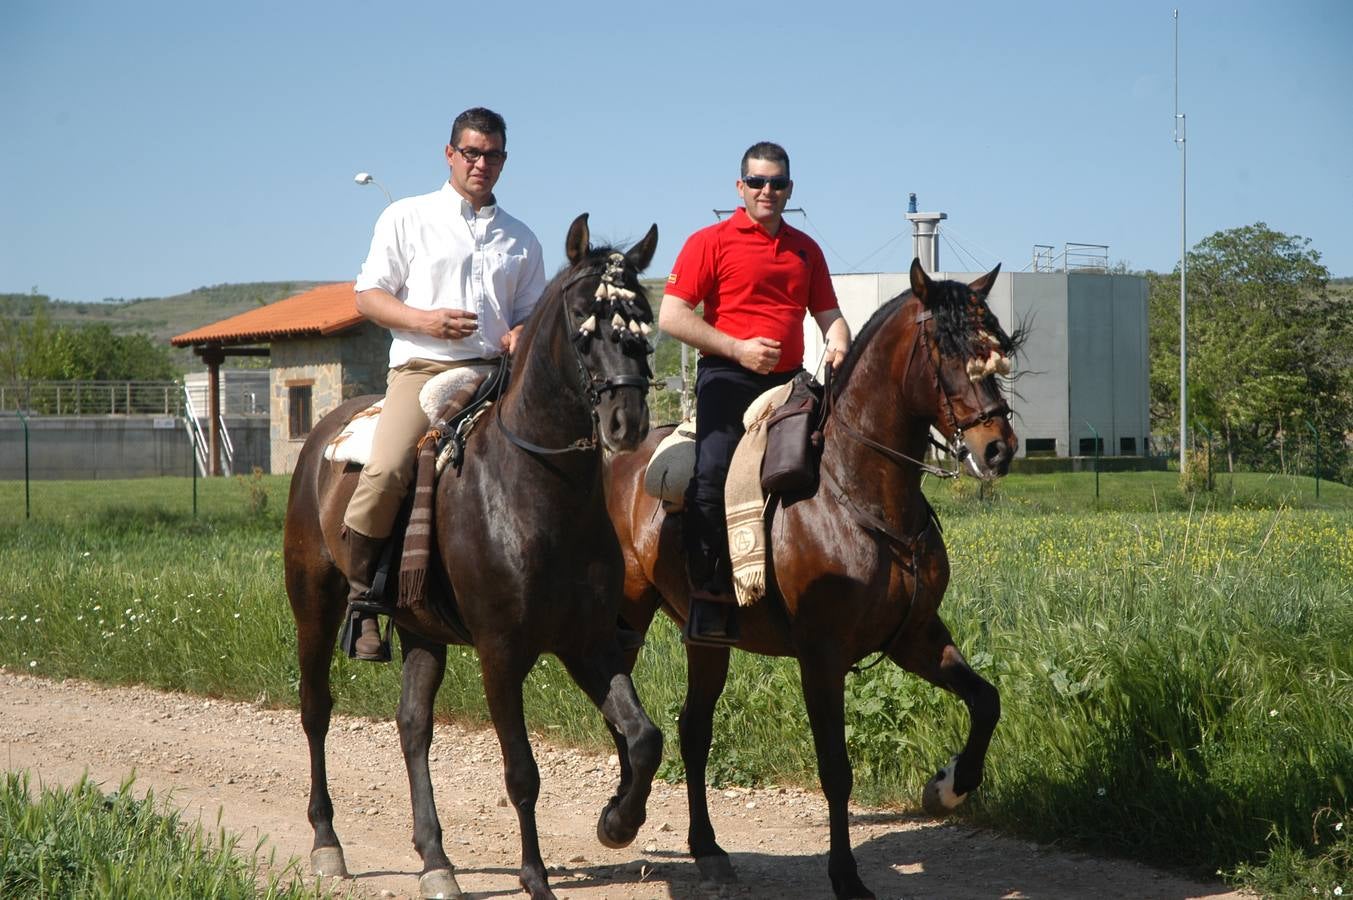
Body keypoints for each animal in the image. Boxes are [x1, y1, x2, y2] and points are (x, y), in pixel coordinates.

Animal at [286, 216, 665, 898]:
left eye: (642, 317)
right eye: (582, 319)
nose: (627, 421)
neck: (539, 489)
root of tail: (324, 432)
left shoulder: (588, 641)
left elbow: (644, 736)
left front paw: (617, 823)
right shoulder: (501, 653)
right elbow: (522, 773)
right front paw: (536, 878)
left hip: (421, 631)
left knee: (413, 727)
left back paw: (435, 860)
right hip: (314, 608)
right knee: (316, 711)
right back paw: (327, 843)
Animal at [608, 255, 1017, 893]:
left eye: (995, 343)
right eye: (947, 348)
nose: (998, 448)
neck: (854, 489)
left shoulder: (914, 636)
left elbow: (986, 700)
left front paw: (947, 786)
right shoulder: (822, 657)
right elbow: (836, 769)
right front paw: (846, 876)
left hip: (707, 637)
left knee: (693, 728)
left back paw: (706, 848)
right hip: (627, 608)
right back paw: (623, 816)